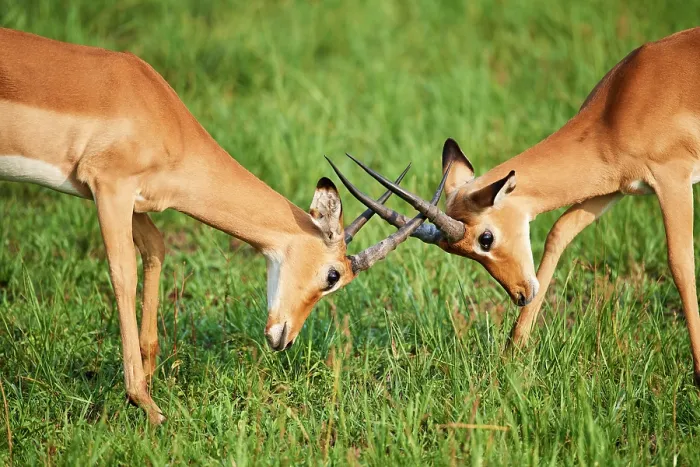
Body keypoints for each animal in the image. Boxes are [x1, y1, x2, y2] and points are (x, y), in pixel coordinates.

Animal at [0, 28, 448, 424]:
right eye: (332, 275)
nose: (284, 339)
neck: (156, 110)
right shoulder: (109, 188)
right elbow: (122, 272)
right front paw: (146, 405)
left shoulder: (132, 202)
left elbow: (156, 248)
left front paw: (148, 381)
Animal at [330, 28, 700, 386]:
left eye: (486, 239)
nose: (520, 294)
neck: (620, 106)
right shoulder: (614, 187)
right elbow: (559, 232)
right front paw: (513, 350)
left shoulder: (672, 180)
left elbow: (680, 263)